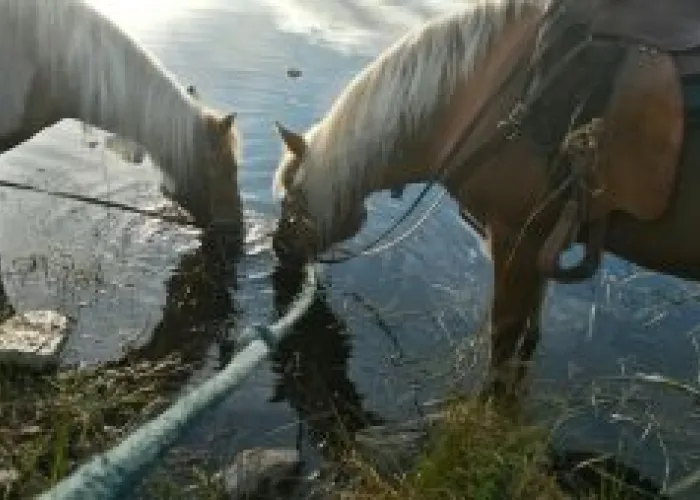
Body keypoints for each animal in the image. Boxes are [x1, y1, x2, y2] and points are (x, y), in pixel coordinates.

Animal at [272, 0, 700, 400]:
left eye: (291, 195)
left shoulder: (515, 237)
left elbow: (504, 337)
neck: (480, 96)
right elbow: (529, 333)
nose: (278, 248)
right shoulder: (539, 240)